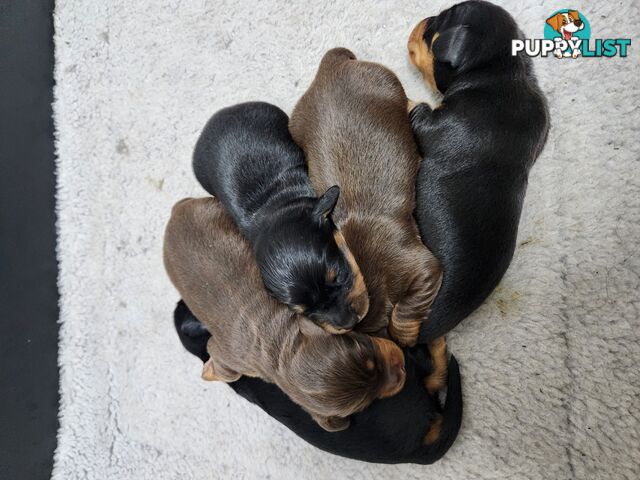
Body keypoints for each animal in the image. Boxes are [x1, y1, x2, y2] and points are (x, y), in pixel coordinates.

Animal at [165, 196, 404, 432]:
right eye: (368, 402)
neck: (284, 345)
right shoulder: (230, 356)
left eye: (365, 345)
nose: (401, 367)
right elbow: (225, 368)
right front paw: (208, 371)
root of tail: (175, 212)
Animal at [288, 49, 440, 348]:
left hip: (386, 83)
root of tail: (330, 65)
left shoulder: (423, 269)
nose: (346, 323)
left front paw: (405, 335)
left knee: (405, 100)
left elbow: (405, 312)